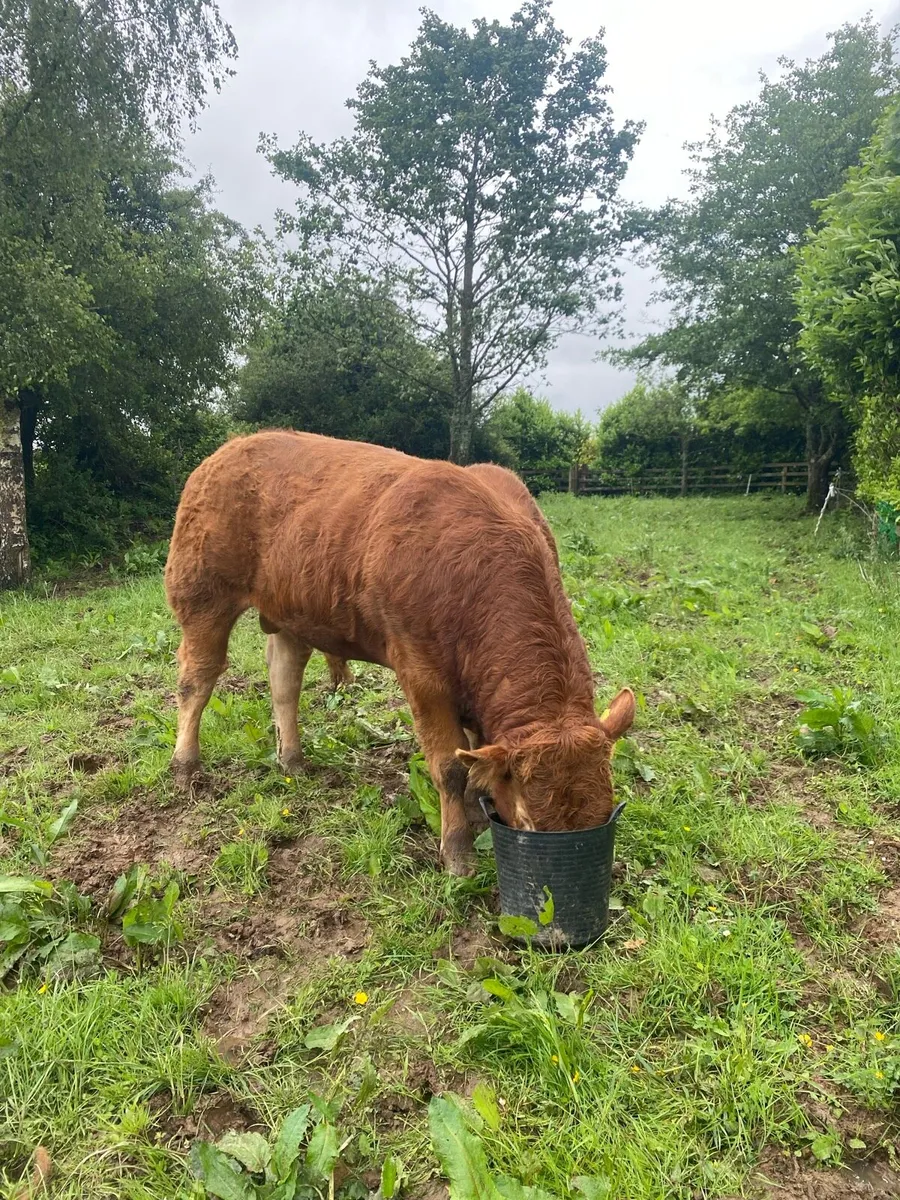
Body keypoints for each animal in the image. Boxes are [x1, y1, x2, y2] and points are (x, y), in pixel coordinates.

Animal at [164, 431, 635, 875]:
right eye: (528, 822)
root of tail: (229, 450)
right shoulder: (422, 674)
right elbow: (449, 766)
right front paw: (458, 849)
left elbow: (474, 752)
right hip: (201, 595)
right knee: (197, 682)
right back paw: (186, 764)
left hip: (291, 612)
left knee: (284, 683)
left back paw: (292, 759)